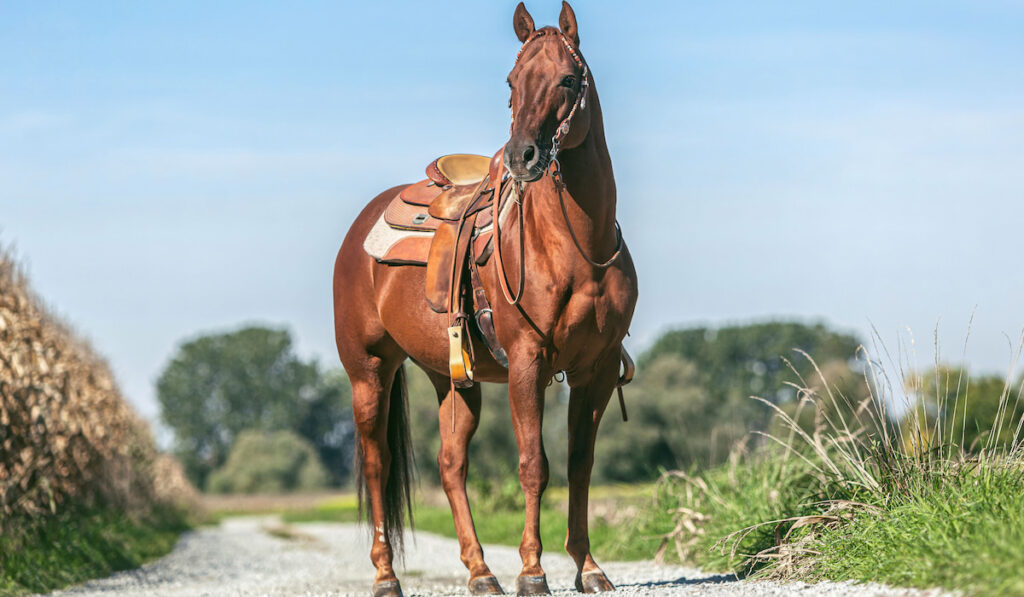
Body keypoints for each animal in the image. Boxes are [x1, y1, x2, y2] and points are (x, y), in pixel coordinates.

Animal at [335, 2, 634, 593]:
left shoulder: (596, 368)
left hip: (451, 379)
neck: (577, 247)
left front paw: (588, 567)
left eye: (568, 80)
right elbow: (534, 465)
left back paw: (480, 572)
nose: (523, 156)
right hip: (369, 371)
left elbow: (580, 465)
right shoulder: (527, 362)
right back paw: (386, 576)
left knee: (451, 465)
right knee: (377, 462)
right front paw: (533, 572)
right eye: (512, 82)